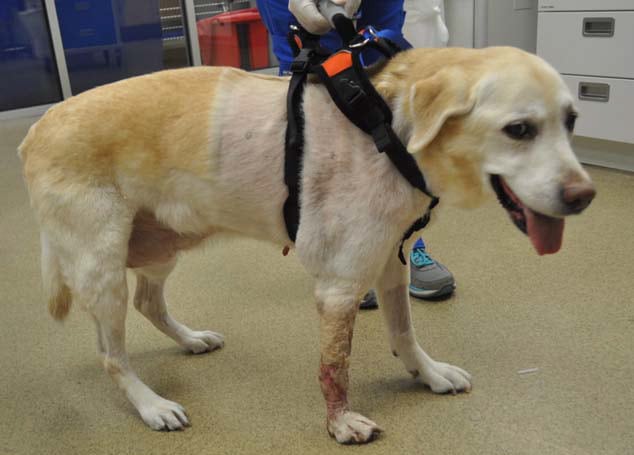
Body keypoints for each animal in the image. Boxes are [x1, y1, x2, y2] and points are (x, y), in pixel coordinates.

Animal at [19, 46, 595, 444]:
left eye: (571, 121)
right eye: (519, 129)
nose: (584, 196)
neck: (386, 128)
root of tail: (36, 129)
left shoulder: (391, 264)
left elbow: (404, 333)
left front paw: (428, 375)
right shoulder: (339, 287)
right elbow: (334, 367)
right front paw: (340, 425)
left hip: (161, 245)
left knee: (149, 302)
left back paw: (190, 339)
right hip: (102, 269)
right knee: (111, 354)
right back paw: (151, 404)